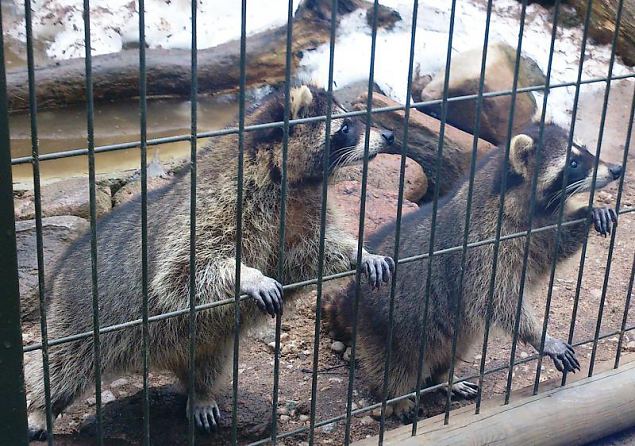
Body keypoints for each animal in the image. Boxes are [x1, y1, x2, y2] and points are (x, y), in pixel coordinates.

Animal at [27, 84, 398, 440]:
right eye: (345, 126)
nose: (390, 136)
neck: (290, 178)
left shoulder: (302, 210)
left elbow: (306, 256)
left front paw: (359, 253)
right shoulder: (214, 204)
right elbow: (182, 273)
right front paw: (247, 276)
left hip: (208, 340)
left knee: (209, 363)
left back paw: (201, 392)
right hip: (79, 315)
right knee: (61, 363)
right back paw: (40, 407)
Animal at [326, 123, 624, 418]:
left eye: (585, 150)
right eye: (573, 162)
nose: (617, 169)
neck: (523, 198)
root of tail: (352, 295)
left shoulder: (540, 226)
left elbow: (555, 248)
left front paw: (590, 212)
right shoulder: (483, 245)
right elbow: (497, 298)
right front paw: (540, 336)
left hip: (452, 330)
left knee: (452, 349)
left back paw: (445, 378)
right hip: (386, 325)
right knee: (397, 366)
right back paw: (395, 399)